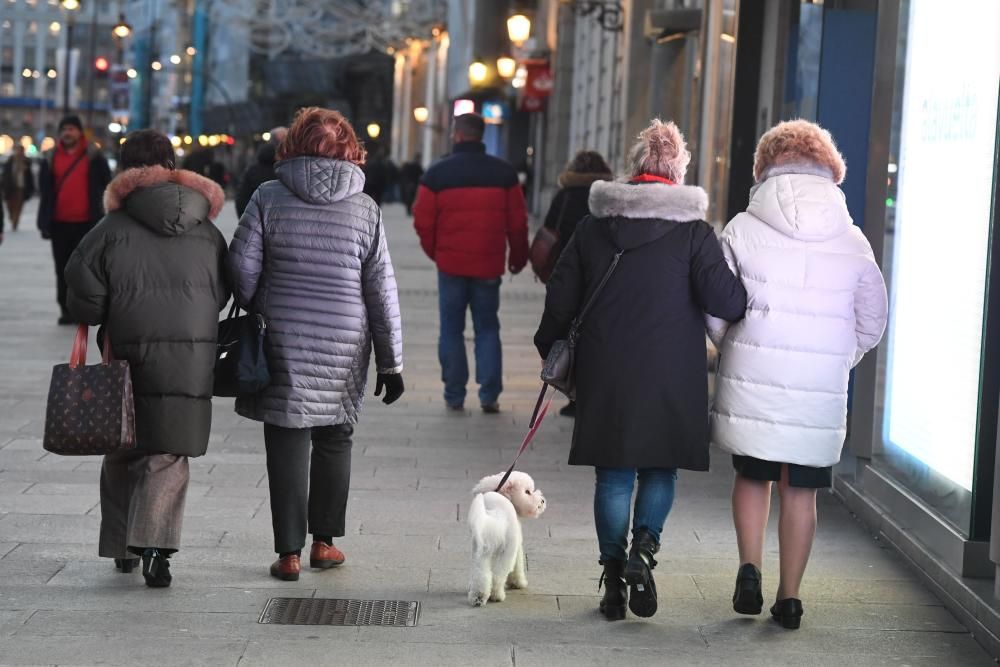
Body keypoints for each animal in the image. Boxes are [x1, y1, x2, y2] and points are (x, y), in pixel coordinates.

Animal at [468, 472, 548, 608]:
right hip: (506, 553)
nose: (542, 501)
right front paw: (518, 583)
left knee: (481, 575)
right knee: (497, 576)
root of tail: (493, 518)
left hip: (480, 553)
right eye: (527, 492)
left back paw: (478, 597)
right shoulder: (516, 546)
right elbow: (518, 566)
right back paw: (497, 596)